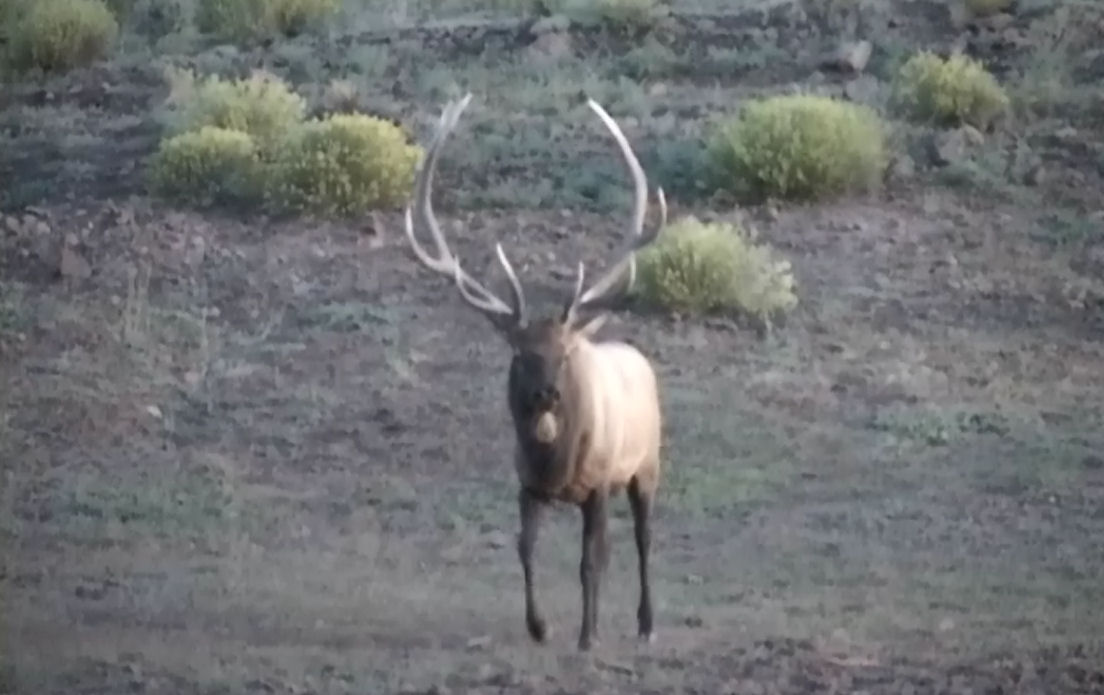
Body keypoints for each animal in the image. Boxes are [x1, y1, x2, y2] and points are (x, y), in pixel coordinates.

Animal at [403, 93, 668, 652]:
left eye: (564, 355)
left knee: (642, 539)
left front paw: (587, 636)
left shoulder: (597, 485)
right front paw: (539, 625)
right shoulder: (526, 484)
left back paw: (646, 623)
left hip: (647, 466)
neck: (556, 463)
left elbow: (590, 563)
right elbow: (524, 549)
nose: (546, 395)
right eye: (520, 354)